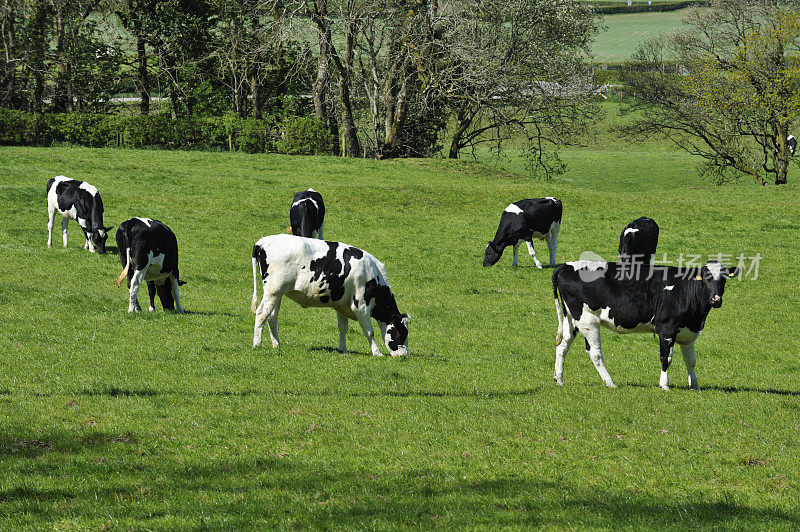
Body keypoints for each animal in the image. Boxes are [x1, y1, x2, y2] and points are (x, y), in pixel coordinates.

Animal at [252, 234, 412, 356]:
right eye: (402, 334)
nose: (404, 356)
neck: (372, 275)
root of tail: (262, 241)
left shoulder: (341, 304)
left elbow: (343, 328)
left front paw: (343, 349)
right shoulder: (360, 306)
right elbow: (370, 332)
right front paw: (377, 352)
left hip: (277, 293)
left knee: (271, 317)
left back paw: (276, 344)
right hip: (273, 291)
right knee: (261, 314)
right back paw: (257, 344)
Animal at [552, 258, 740, 388]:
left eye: (723, 279)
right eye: (706, 279)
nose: (716, 300)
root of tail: (565, 265)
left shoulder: (688, 333)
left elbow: (690, 361)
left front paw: (695, 385)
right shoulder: (666, 329)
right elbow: (666, 358)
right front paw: (664, 385)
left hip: (571, 318)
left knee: (562, 346)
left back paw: (559, 379)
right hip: (587, 319)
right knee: (595, 352)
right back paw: (610, 383)